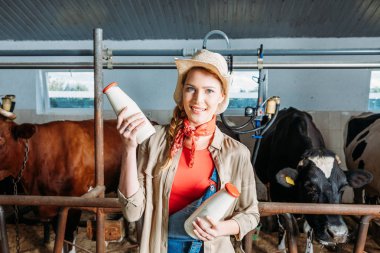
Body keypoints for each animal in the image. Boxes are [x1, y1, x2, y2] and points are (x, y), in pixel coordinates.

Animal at [254, 107, 372, 246]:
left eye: (343, 188)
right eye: (310, 186)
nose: (338, 234)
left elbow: (307, 230)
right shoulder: (277, 194)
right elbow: (287, 223)